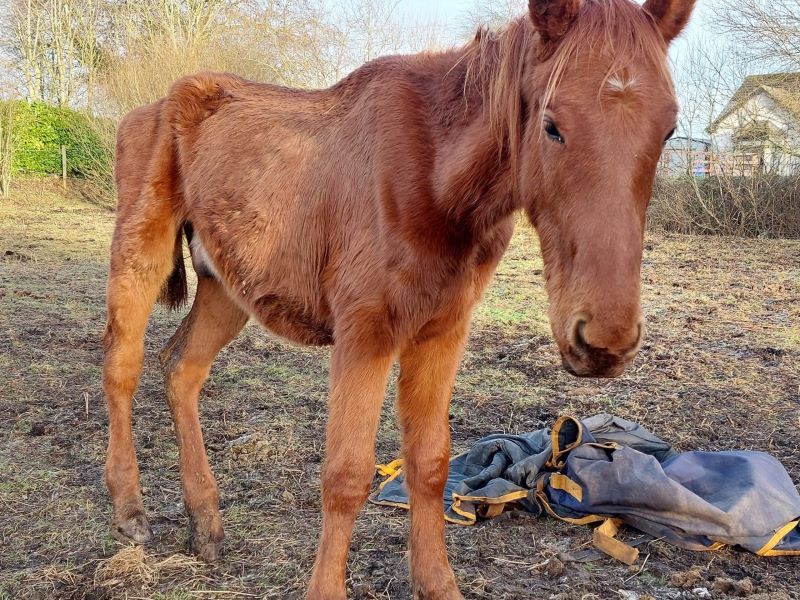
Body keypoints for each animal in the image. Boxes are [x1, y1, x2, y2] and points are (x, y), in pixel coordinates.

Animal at [103, 0, 696, 597]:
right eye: (552, 125)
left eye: (668, 130)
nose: (604, 342)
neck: (435, 182)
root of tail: (148, 110)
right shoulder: (365, 334)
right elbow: (346, 474)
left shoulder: (441, 333)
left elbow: (430, 464)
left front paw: (437, 583)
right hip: (140, 254)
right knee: (122, 365)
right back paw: (130, 511)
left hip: (227, 286)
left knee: (181, 369)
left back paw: (205, 521)